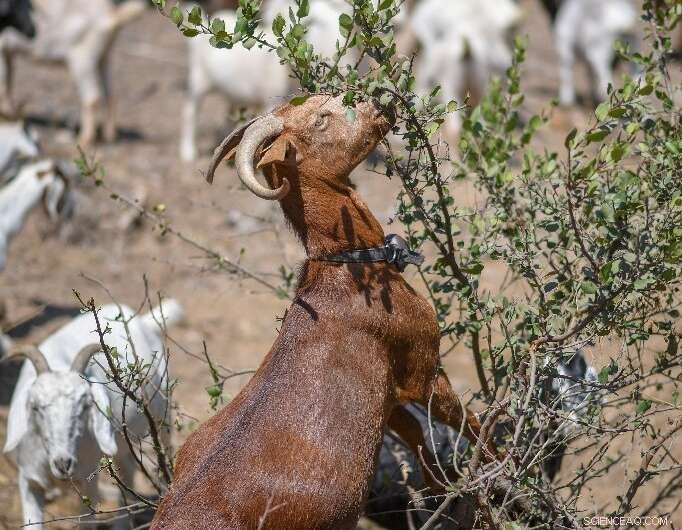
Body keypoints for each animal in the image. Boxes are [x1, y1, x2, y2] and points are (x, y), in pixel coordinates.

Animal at [0, 0, 145, 146]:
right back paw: (109, 136)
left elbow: (3, 83)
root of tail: (112, 15)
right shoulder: (8, 52)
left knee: (92, 98)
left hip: (83, 59)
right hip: (105, 56)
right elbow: (9, 80)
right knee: (111, 94)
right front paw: (8, 113)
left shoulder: (2, 49)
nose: (32, 31)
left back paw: (84, 138)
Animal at [4, 299, 183, 529]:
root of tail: (142, 321)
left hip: (162, 418)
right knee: (127, 471)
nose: (63, 463)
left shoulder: (87, 482)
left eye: (85, 406)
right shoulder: (29, 481)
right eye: (35, 407)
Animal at [152, 95, 495, 530]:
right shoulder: (423, 368)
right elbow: (471, 423)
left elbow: (419, 437)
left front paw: (444, 493)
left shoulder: (388, 397)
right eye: (320, 119)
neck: (349, 267)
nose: (381, 100)